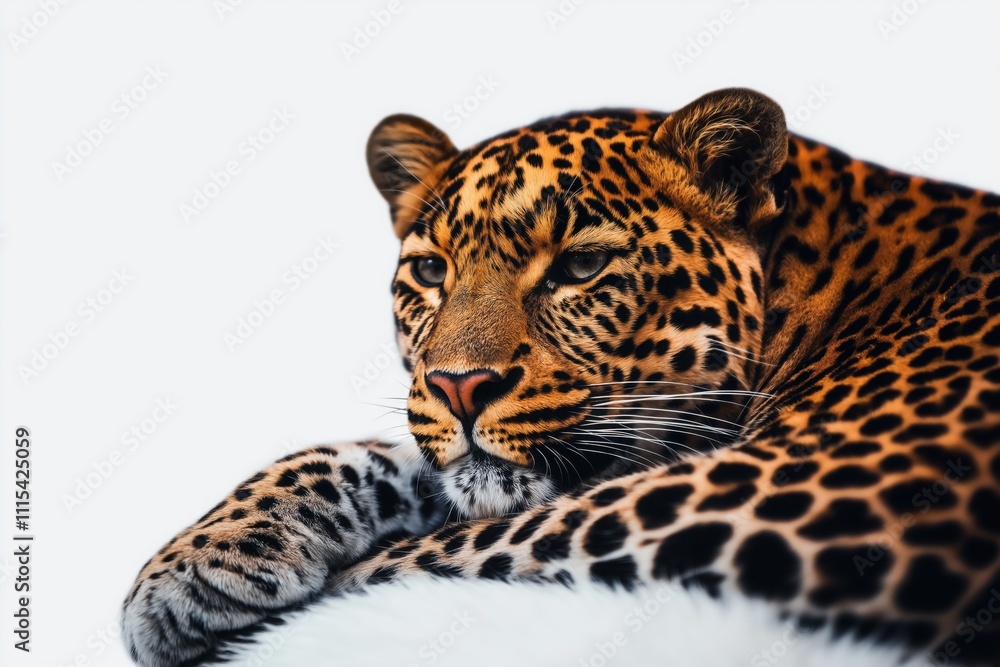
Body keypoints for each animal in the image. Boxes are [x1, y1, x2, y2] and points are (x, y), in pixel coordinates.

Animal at [121, 88, 1000, 667]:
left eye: (580, 267)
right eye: (431, 272)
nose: (459, 386)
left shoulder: (769, 501)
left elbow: (419, 559)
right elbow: (406, 467)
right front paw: (191, 568)